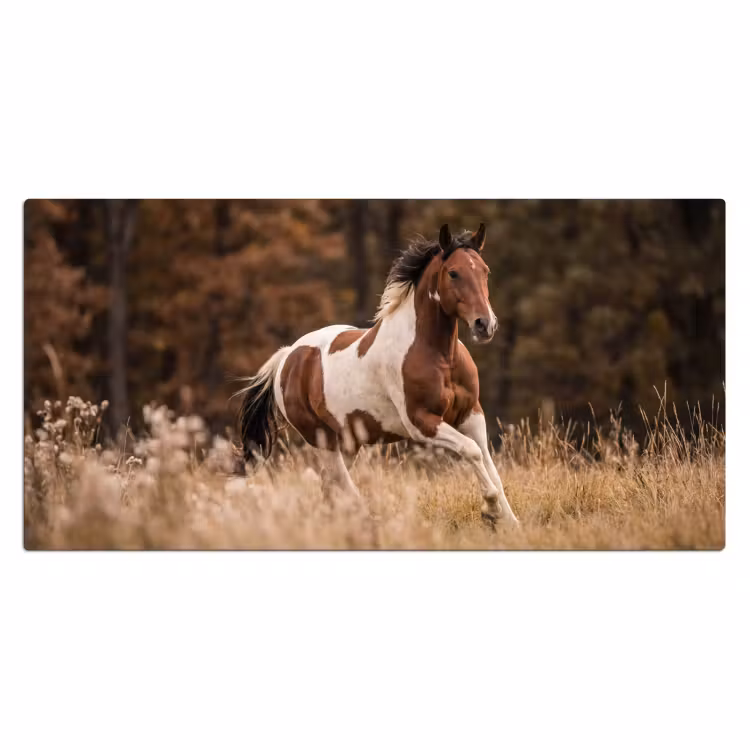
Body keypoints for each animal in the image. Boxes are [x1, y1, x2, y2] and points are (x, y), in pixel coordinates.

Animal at [237, 223, 518, 527]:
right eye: (453, 272)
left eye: (485, 271)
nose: (484, 325)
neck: (440, 356)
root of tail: (288, 356)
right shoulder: (421, 423)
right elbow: (472, 451)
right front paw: (490, 509)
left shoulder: (471, 415)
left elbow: (488, 463)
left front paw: (510, 522)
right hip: (321, 438)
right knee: (340, 484)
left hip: (348, 441)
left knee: (329, 486)